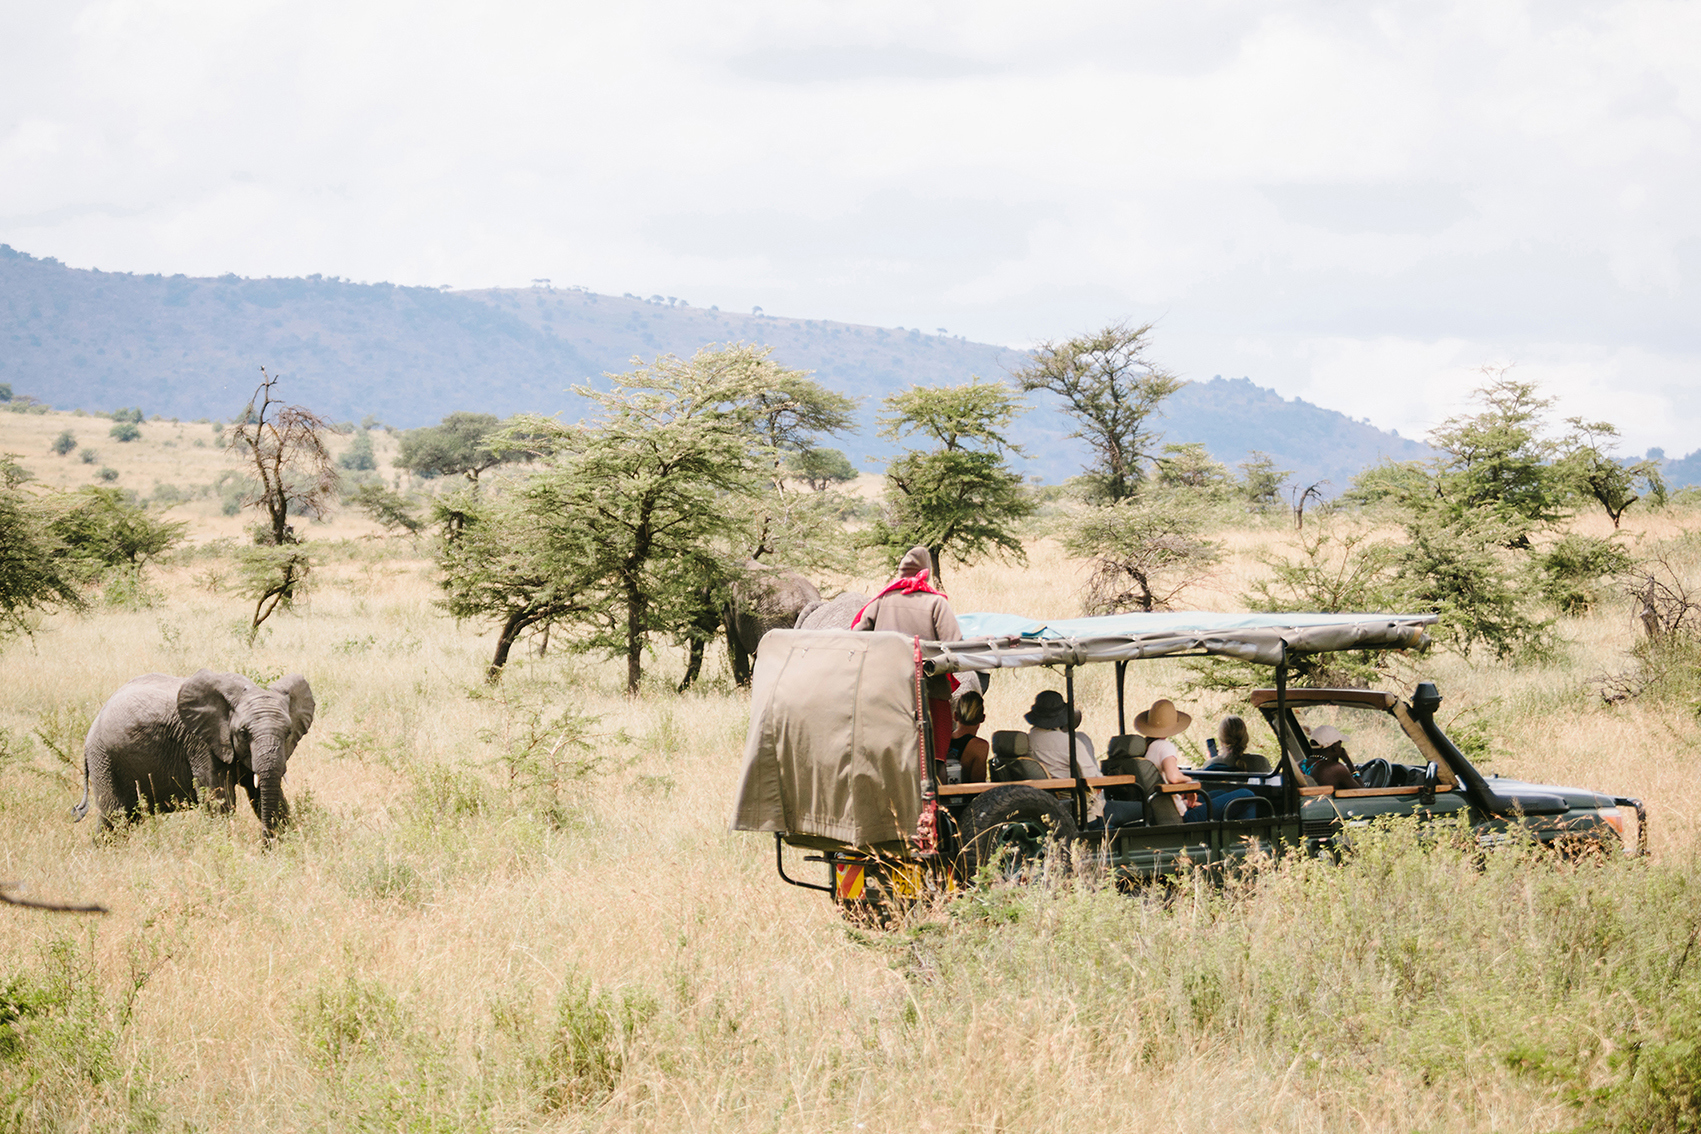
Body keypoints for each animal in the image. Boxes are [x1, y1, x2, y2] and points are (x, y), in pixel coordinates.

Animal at [73, 669, 315, 837]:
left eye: (288, 732)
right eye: (243, 733)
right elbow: (219, 801)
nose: (264, 846)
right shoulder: (202, 744)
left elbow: (263, 795)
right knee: (114, 817)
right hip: (104, 759)